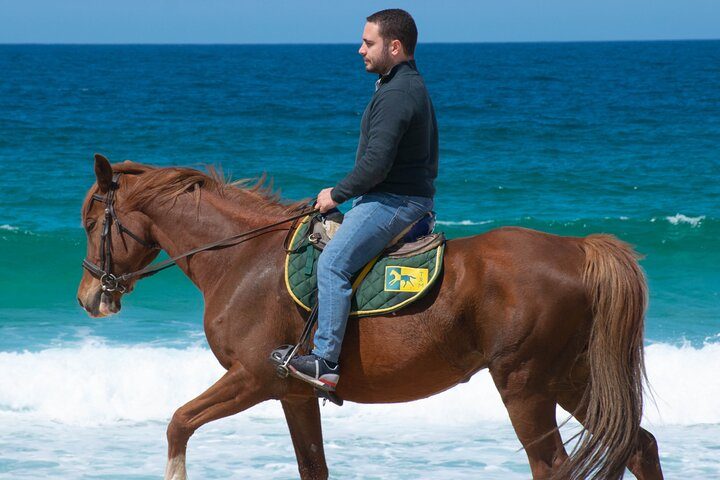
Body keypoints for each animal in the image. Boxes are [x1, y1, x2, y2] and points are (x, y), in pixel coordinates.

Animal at [74, 156, 664, 478]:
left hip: (526, 385)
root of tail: (579, 249)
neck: (242, 259)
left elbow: (178, 423)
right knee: (639, 447)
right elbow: (313, 467)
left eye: (91, 223)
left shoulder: (253, 377)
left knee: (554, 468)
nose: (87, 297)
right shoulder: (292, 393)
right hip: (572, 378)